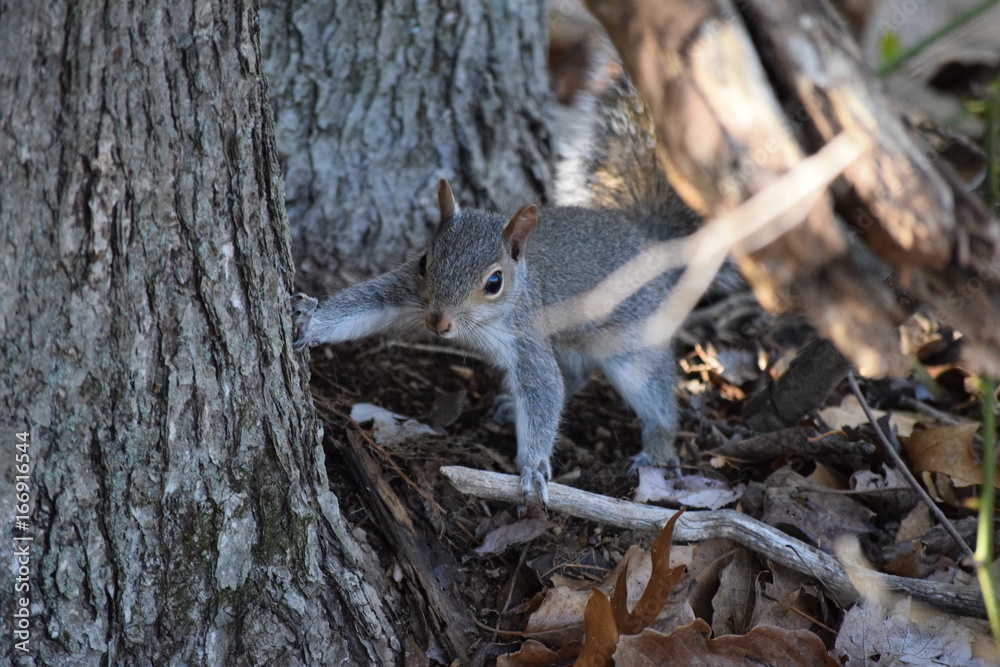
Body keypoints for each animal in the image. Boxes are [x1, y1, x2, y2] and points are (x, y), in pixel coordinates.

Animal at [290, 58, 720, 506]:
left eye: (494, 282)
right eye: (425, 261)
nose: (438, 323)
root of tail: (649, 243)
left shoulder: (526, 332)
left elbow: (545, 388)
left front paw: (533, 469)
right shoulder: (407, 292)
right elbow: (362, 304)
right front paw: (312, 323)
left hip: (634, 336)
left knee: (651, 389)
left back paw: (658, 447)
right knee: (576, 373)